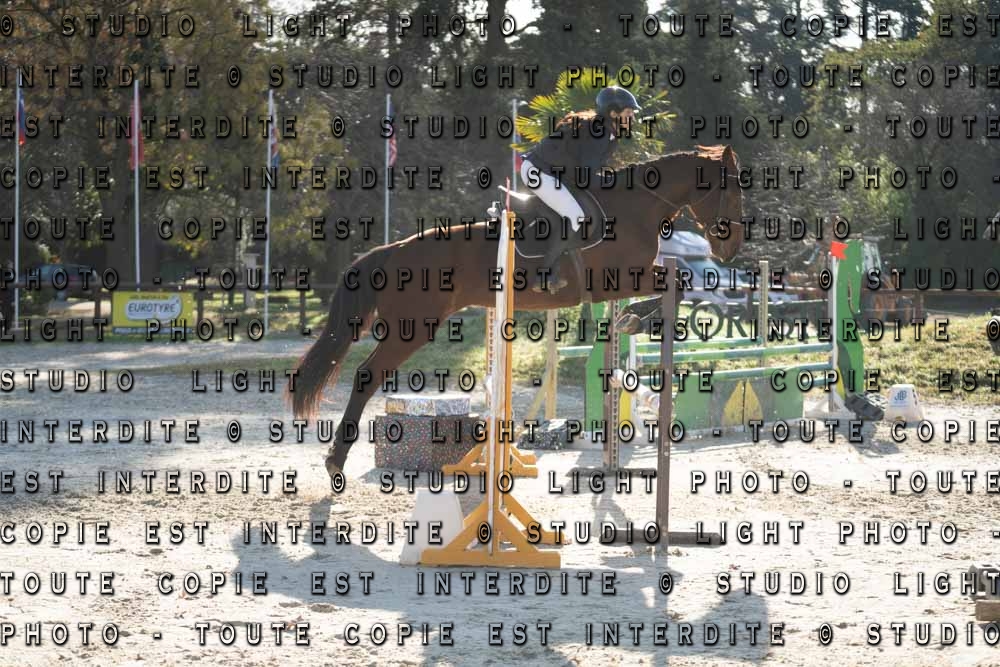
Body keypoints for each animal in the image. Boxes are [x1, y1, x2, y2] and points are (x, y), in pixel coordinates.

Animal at [290, 144, 746, 482]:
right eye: (731, 191)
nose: (731, 250)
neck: (637, 208)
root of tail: (394, 249)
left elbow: (679, 283)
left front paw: (633, 319)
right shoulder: (618, 279)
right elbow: (680, 280)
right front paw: (634, 317)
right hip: (412, 327)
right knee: (367, 376)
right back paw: (334, 461)